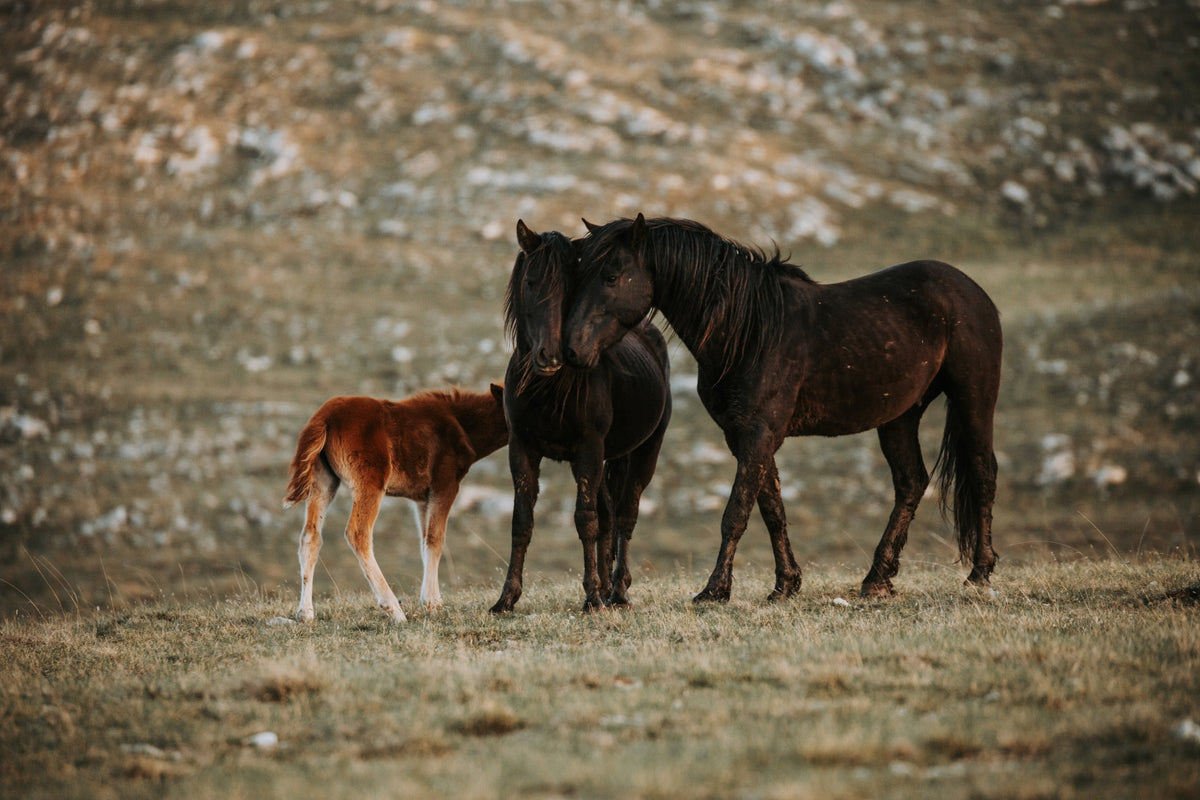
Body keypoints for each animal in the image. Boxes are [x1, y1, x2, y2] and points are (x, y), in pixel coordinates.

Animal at [283, 387, 508, 622]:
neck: (461, 424)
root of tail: (324, 417)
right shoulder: (444, 486)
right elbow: (436, 539)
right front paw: (432, 604)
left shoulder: (422, 498)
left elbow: (425, 541)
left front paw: (432, 601)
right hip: (370, 483)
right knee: (358, 533)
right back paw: (394, 609)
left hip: (323, 480)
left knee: (310, 537)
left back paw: (305, 613)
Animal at [490, 219, 671, 614]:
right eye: (530, 282)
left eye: (571, 287)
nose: (551, 356)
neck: (549, 388)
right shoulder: (522, 447)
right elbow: (522, 519)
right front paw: (506, 598)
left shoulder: (589, 449)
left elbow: (585, 519)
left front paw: (591, 597)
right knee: (608, 516)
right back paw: (606, 588)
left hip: (644, 452)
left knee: (624, 515)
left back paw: (617, 592)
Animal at [564, 214, 1002, 602]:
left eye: (612, 277)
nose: (572, 349)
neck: (750, 330)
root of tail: (970, 288)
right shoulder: (744, 435)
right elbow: (771, 509)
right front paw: (785, 585)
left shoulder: (760, 432)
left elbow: (736, 513)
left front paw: (714, 591)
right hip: (899, 416)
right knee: (911, 482)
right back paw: (877, 579)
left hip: (974, 398)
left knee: (982, 473)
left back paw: (979, 573)